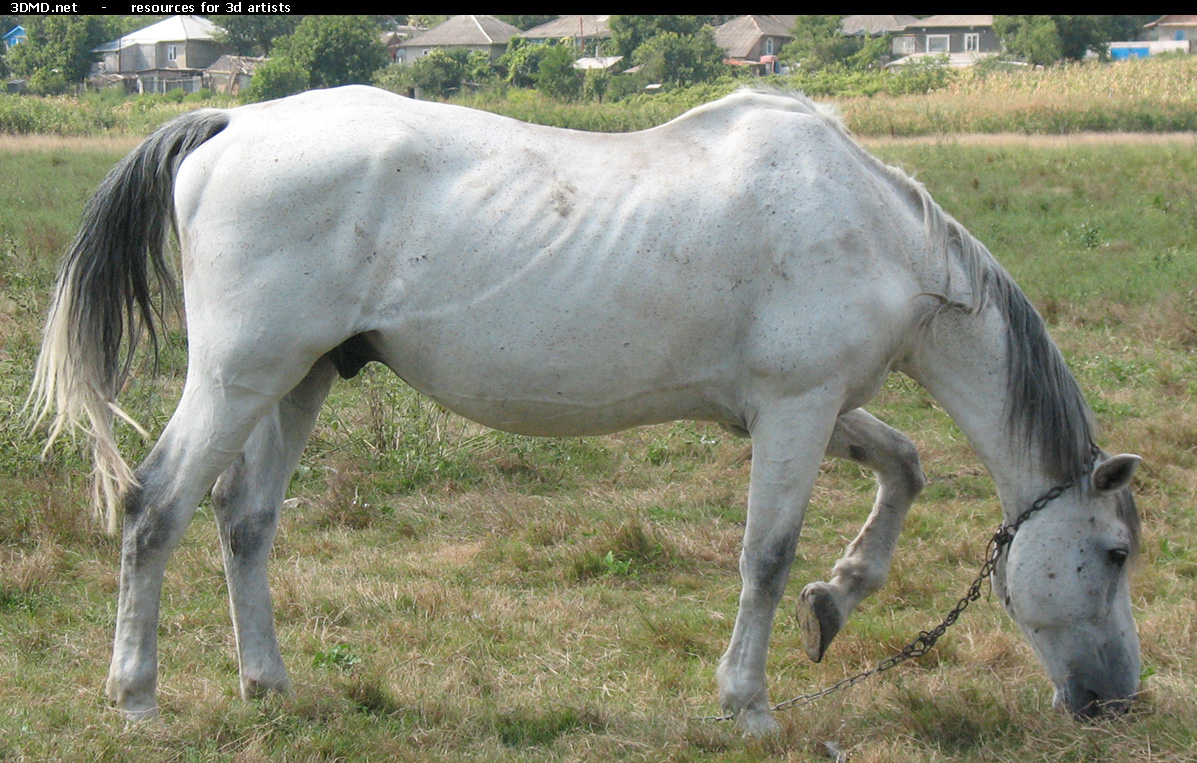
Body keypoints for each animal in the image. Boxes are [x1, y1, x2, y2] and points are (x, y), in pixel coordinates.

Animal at [32, 85, 1139, 733]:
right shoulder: (795, 410)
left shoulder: (791, 408)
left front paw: (835, 601)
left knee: (243, 520)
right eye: (1115, 552)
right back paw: (136, 697)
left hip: (296, 380)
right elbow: (765, 555)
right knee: (156, 508)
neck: (871, 229)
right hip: (238, 377)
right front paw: (749, 702)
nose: (1117, 696)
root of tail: (233, 123)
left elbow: (903, 464)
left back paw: (267, 683)